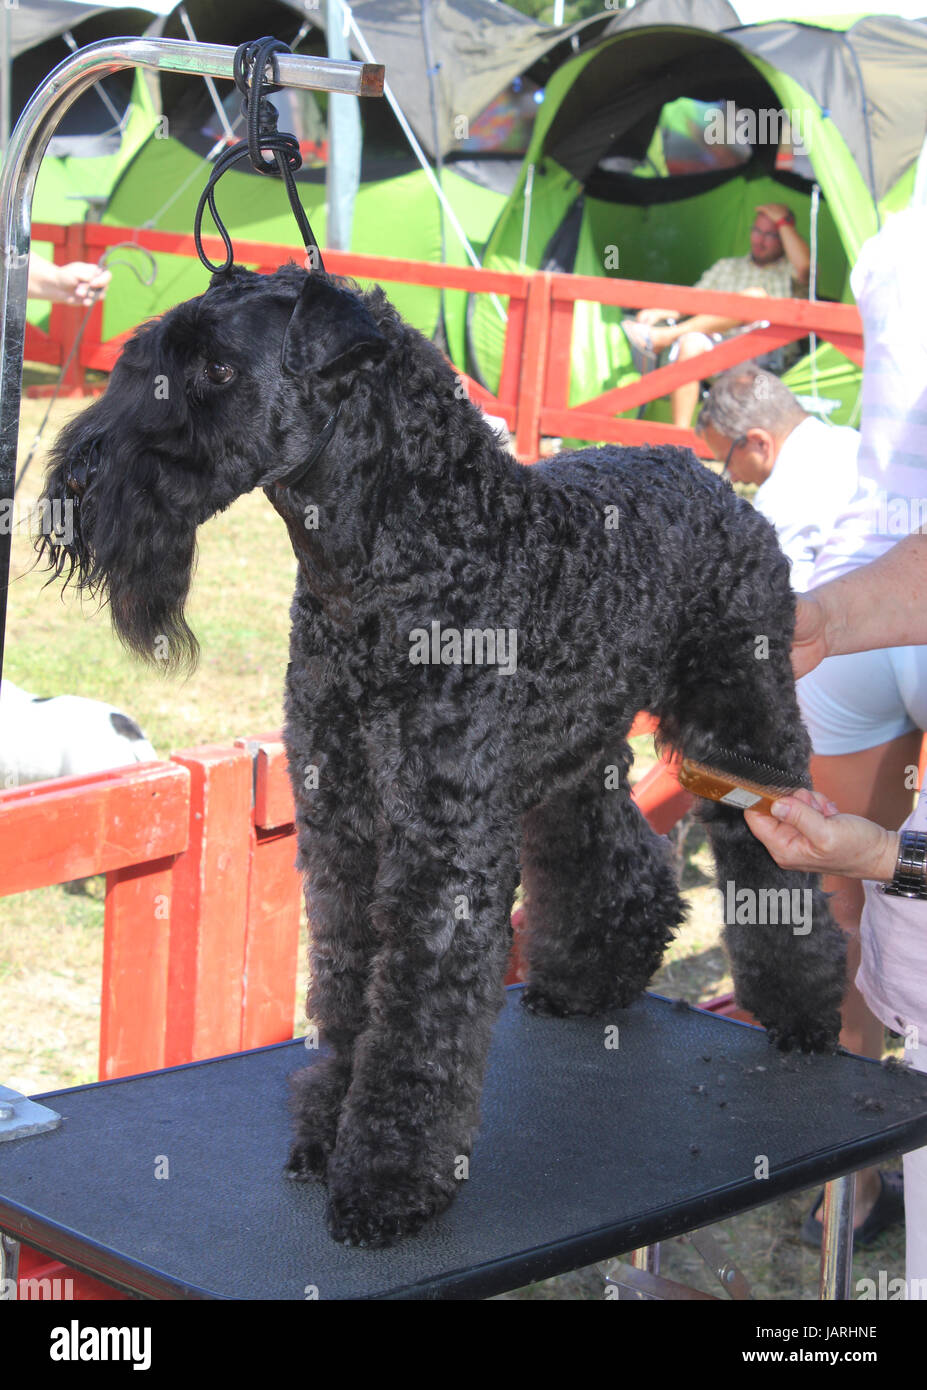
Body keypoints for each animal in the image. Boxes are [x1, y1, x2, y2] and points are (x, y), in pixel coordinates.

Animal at [38, 262, 850, 1251]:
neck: (400, 561)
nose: (77, 476)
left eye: (217, 371)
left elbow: (416, 1017)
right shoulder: (344, 826)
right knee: (611, 853)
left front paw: (387, 1180)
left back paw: (805, 1011)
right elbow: (348, 986)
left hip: (742, 737)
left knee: (772, 871)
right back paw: (591, 975)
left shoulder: (441, 843)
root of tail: (708, 480)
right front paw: (325, 1133)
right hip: (573, 757)